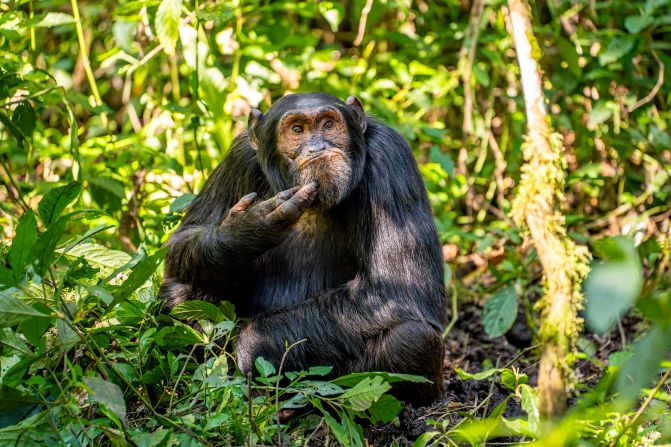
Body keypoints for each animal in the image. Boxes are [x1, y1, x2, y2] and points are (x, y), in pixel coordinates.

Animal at [160, 93, 448, 404]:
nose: (317, 146)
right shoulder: (238, 157)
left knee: (411, 339)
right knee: (181, 290)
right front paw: (246, 229)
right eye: (297, 129)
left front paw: (252, 345)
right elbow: (184, 237)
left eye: (328, 124)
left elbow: (397, 288)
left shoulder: (390, 156)